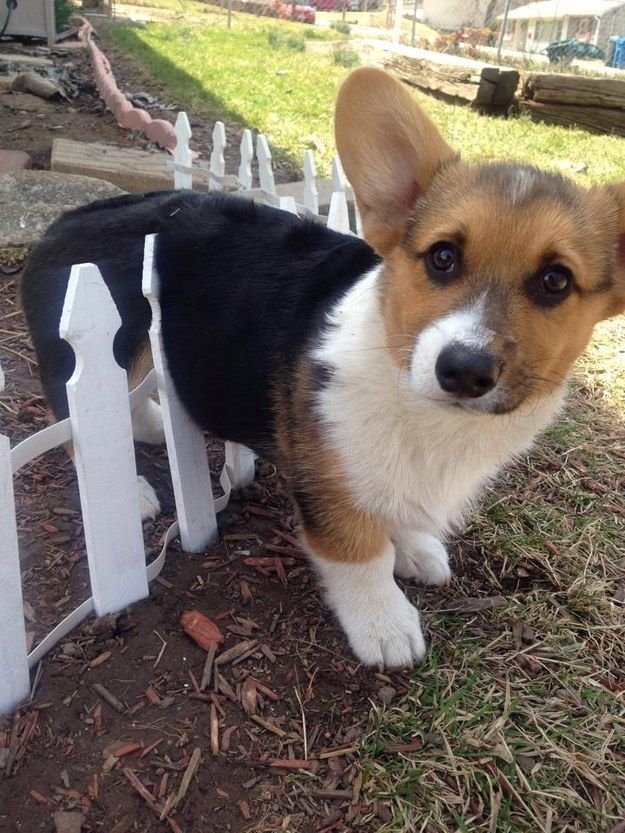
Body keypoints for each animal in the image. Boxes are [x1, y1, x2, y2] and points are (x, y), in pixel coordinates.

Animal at [19, 68, 624, 668]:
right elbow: (362, 552)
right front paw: (384, 624)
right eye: (443, 257)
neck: (418, 402)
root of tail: (61, 222)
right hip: (106, 355)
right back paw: (137, 490)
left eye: (556, 281)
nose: (464, 371)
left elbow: (398, 512)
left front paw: (416, 549)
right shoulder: (328, 483)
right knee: (77, 428)